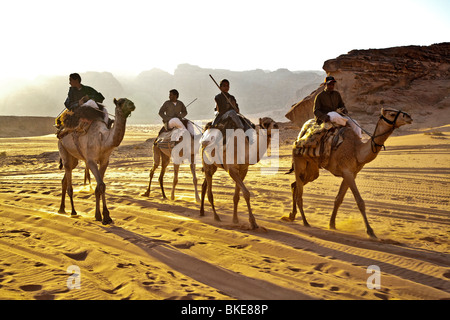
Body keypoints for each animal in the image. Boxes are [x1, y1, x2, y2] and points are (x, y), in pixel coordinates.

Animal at [286, 107, 414, 238]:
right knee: (299, 194)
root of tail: (298, 138)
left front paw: (332, 224)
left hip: (312, 168)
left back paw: (291, 215)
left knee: (295, 184)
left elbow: (338, 199)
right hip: (299, 160)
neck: (357, 151)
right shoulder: (347, 172)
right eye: (392, 114)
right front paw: (370, 232)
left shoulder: (351, 173)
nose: (409, 117)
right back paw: (305, 222)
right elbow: (360, 202)